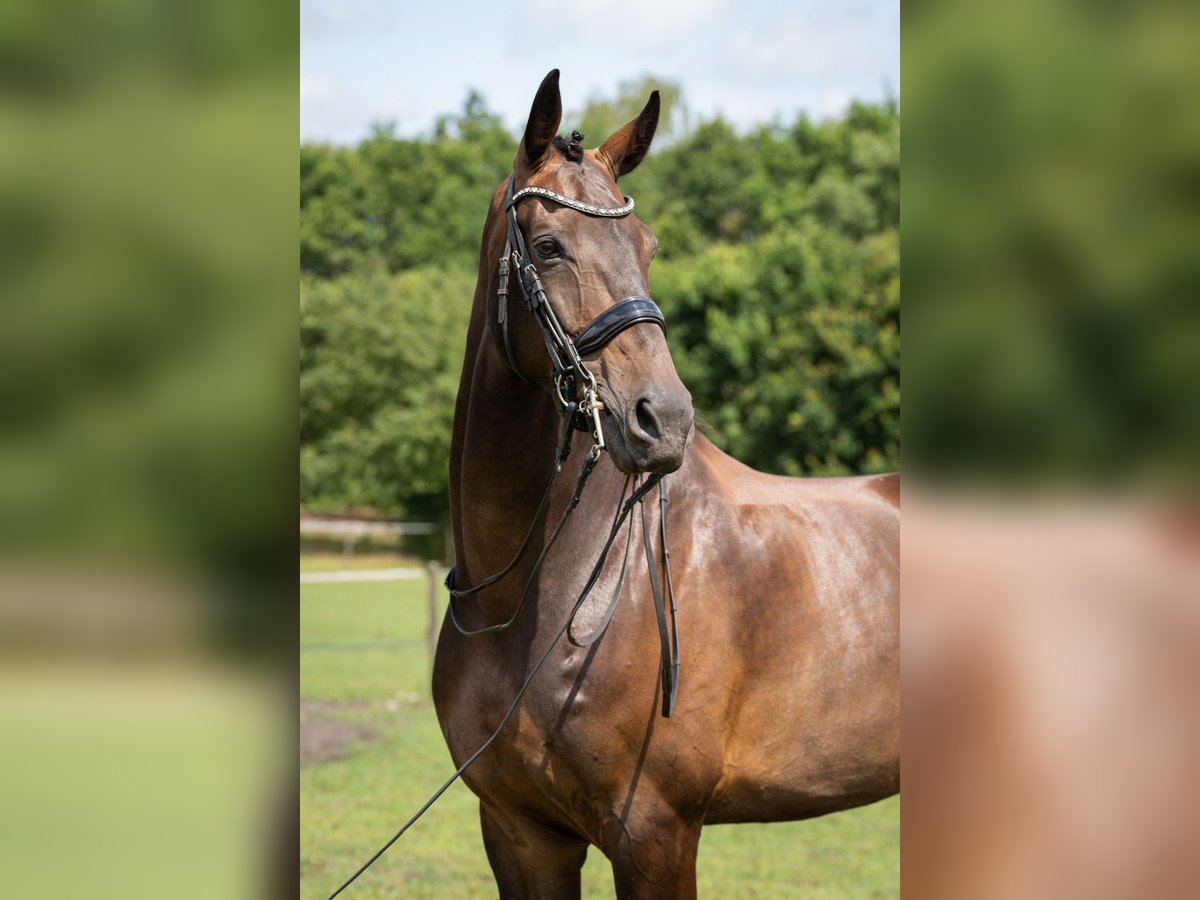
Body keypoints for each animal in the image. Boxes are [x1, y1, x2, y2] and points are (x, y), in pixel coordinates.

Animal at [432, 70, 899, 899]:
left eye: (647, 248)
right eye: (548, 246)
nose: (666, 419)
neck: (523, 598)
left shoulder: (655, 833)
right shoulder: (519, 834)